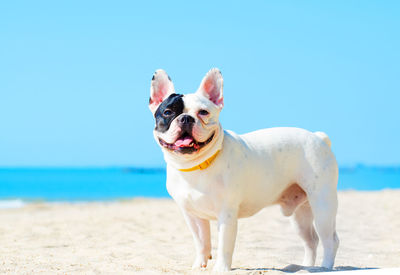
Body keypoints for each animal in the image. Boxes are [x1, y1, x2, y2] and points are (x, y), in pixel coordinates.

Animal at [148, 68, 340, 272]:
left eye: (203, 112)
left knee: (330, 240)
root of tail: (318, 137)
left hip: (323, 205)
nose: (185, 118)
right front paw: (199, 265)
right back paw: (307, 267)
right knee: (311, 240)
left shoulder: (227, 215)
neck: (197, 165)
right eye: (168, 112)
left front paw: (221, 269)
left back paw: (325, 267)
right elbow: (201, 242)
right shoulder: (192, 215)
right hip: (301, 214)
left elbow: (224, 244)